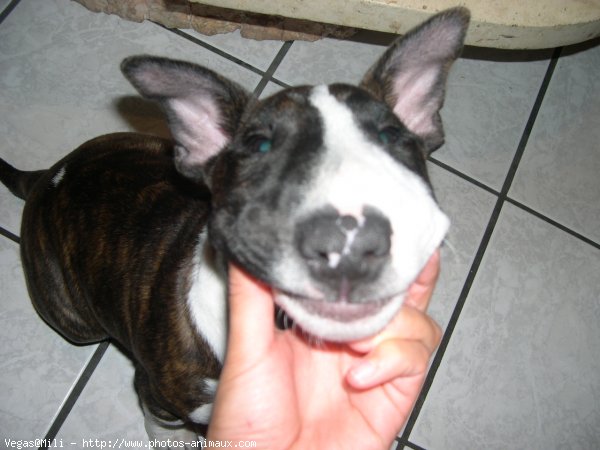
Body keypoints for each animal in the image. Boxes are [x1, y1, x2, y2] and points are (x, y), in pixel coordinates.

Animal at [0, 7, 468, 446]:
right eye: (259, 146)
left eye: (391, 136)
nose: (351, 234)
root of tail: (49, 177)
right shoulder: (158, 399)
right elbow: (167, 430)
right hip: (78, 323)